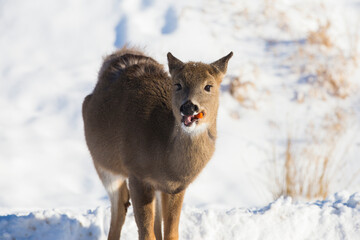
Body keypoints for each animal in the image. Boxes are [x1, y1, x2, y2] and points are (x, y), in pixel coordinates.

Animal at [82, 47, 233, 240]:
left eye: (208, 86)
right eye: (177, 84)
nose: (188, 107)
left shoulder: (176, 187)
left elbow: (170, 233)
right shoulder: (136, 173)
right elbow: (147, 234)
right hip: (104, 164)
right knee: (120, 207)